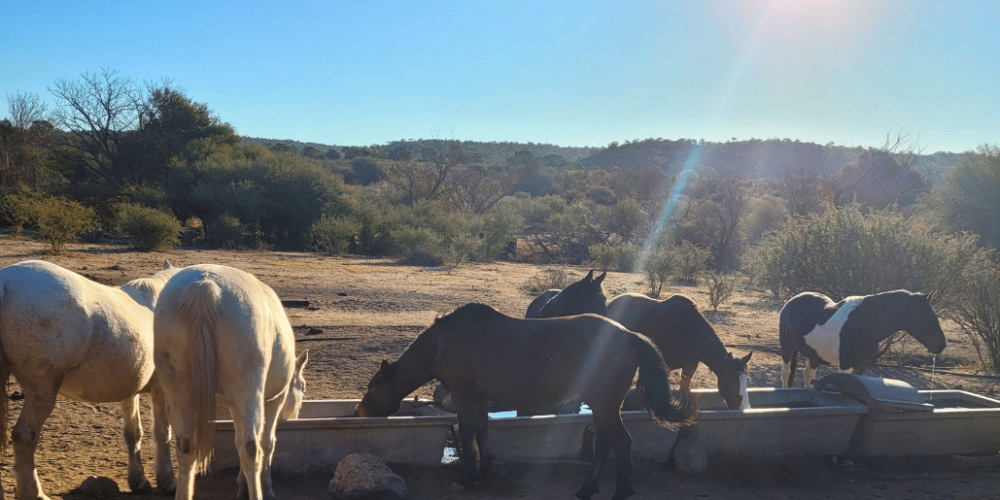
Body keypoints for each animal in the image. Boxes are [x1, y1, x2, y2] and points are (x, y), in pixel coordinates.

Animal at [0, 260, 178, 498]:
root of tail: (5, 282)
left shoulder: (129, 391)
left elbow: (133, 433)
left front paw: (139, 481)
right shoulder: (161, 390)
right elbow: (162, 433)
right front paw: (168, 481)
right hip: (41, 391)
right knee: (24, 435)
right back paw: (35, 493)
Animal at [152, 264, 306, 498]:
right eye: (303, 387)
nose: (296, 416)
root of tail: (204, 287)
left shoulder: (234, 406)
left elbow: (237, 442)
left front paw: (242, 484)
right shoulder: (272, 402)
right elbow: (266, 443)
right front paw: (265, 487)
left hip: (178, 395)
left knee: (186, 448)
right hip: (249, 396)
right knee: (252, 448)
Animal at [354, 302, 696, 498]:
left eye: (372, 388)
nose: (358, 412)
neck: (443, 342)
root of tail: (626, 335)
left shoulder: (464, 395)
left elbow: (467, 433)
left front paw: (466, 477)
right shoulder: (478, 398)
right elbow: (482, 433)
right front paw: (484, 474)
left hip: (604, 405)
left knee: (614, 443)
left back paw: (601, 489)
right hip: (607, 406)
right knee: (614, 443)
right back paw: (605, 489)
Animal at [604, 292, 752, 410]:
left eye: (747, 380)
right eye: (731, 381)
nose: (744, 408)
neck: (689, 331)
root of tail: (612, 303)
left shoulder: (690, 366)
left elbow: (684, 390)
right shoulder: (665, 366)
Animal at [780, 290, 944, 386]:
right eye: (927, 316)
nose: (941, 345)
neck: (862, 325)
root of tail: (792, 300)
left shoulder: (860, 367)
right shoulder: (845, 366)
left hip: (814, 355)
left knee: (808, 375)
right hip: (787, 348)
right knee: (786, 373)